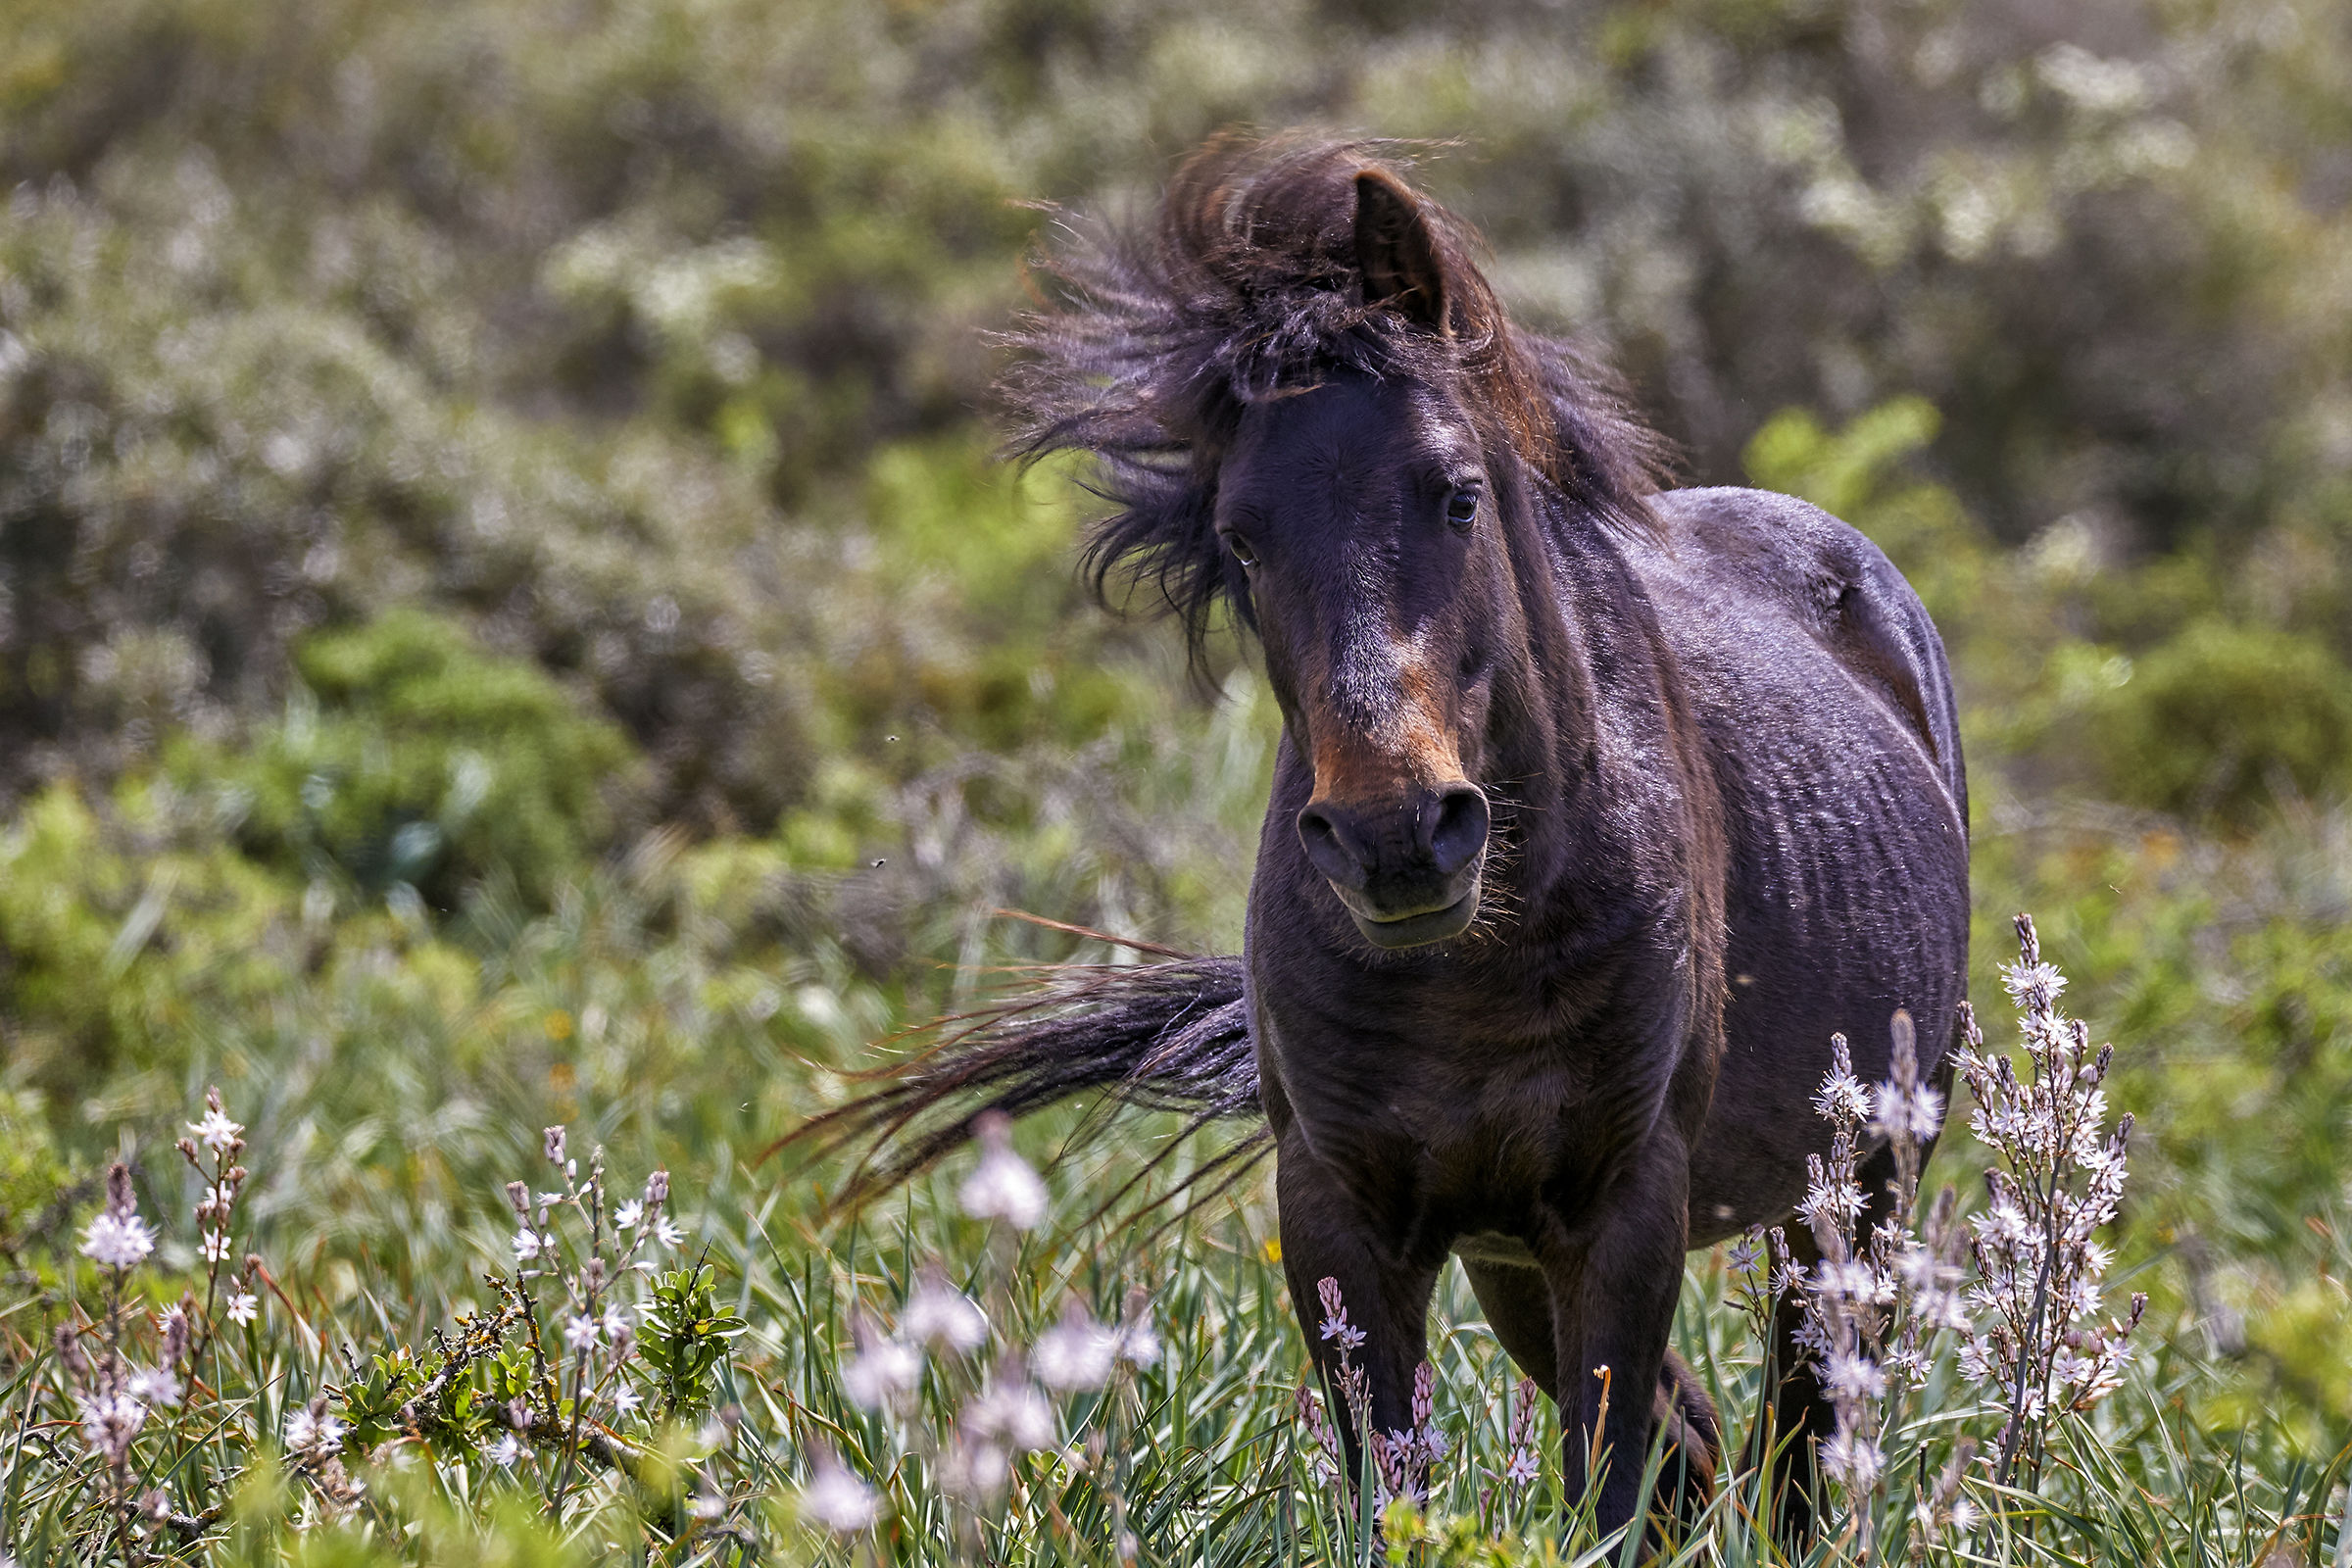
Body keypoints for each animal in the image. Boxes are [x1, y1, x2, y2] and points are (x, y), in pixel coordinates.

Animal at [796, 134, 1971, 1542]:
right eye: (1242, 540)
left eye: (1457, 494)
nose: (1395, 835)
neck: (1475, 972)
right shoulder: (1346, 1219)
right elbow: (1402, 1485)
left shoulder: (1626, 1206)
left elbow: (1606, 1487)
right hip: (1521, 1259)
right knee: (1705, 1458)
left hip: (1849, 1200)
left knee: (1797, 1452)